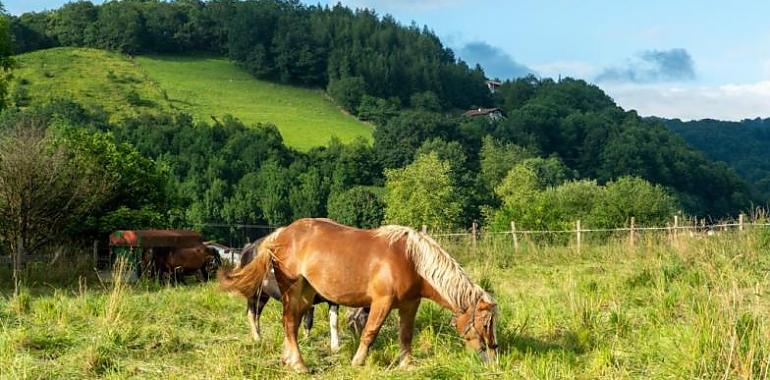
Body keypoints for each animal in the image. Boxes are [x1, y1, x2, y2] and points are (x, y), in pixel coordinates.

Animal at [219, 218, 496, 372]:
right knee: (286, 323)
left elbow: (406, 335)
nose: (492, 356)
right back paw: (299, 364)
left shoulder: (410, 304)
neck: (411, 260)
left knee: (293, 324)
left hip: (305, 295)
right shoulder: (381, 303)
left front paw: (407, 364)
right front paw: (358, 361)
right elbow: (369, 333)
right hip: (288, 290)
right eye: (484, 323)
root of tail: (279, 235)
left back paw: (288, 360)